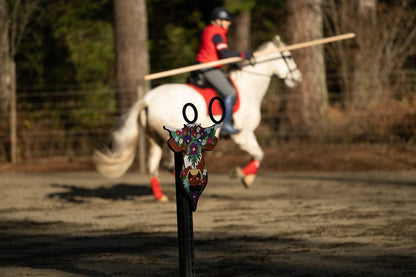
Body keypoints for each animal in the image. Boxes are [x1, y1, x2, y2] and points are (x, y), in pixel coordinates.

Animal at [93, 35, 302, 202]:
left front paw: (244, 177)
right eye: (288, 56)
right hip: (171, 138)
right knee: (169, 164)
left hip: (154, 140)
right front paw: (244, 177)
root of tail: (147, 99)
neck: (249, 87)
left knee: (153, 166)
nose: (298, 78)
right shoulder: (243, 135)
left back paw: (162, 196)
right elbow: (259, 155)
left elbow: (258, 155)